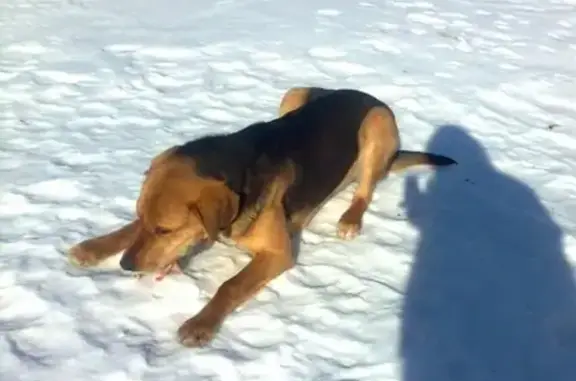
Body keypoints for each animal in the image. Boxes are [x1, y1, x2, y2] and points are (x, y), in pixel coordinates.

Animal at [67, 86, 456, 348]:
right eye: (151, 224)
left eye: (166, 230)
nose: (126, 266)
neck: (237, 173)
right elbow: (128, 229)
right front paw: (94, 247)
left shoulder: (278, 254)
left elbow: (230, 285)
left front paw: (200, 325)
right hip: (294, 95)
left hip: (375, 123)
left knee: (365, 188)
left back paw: (350, 218)